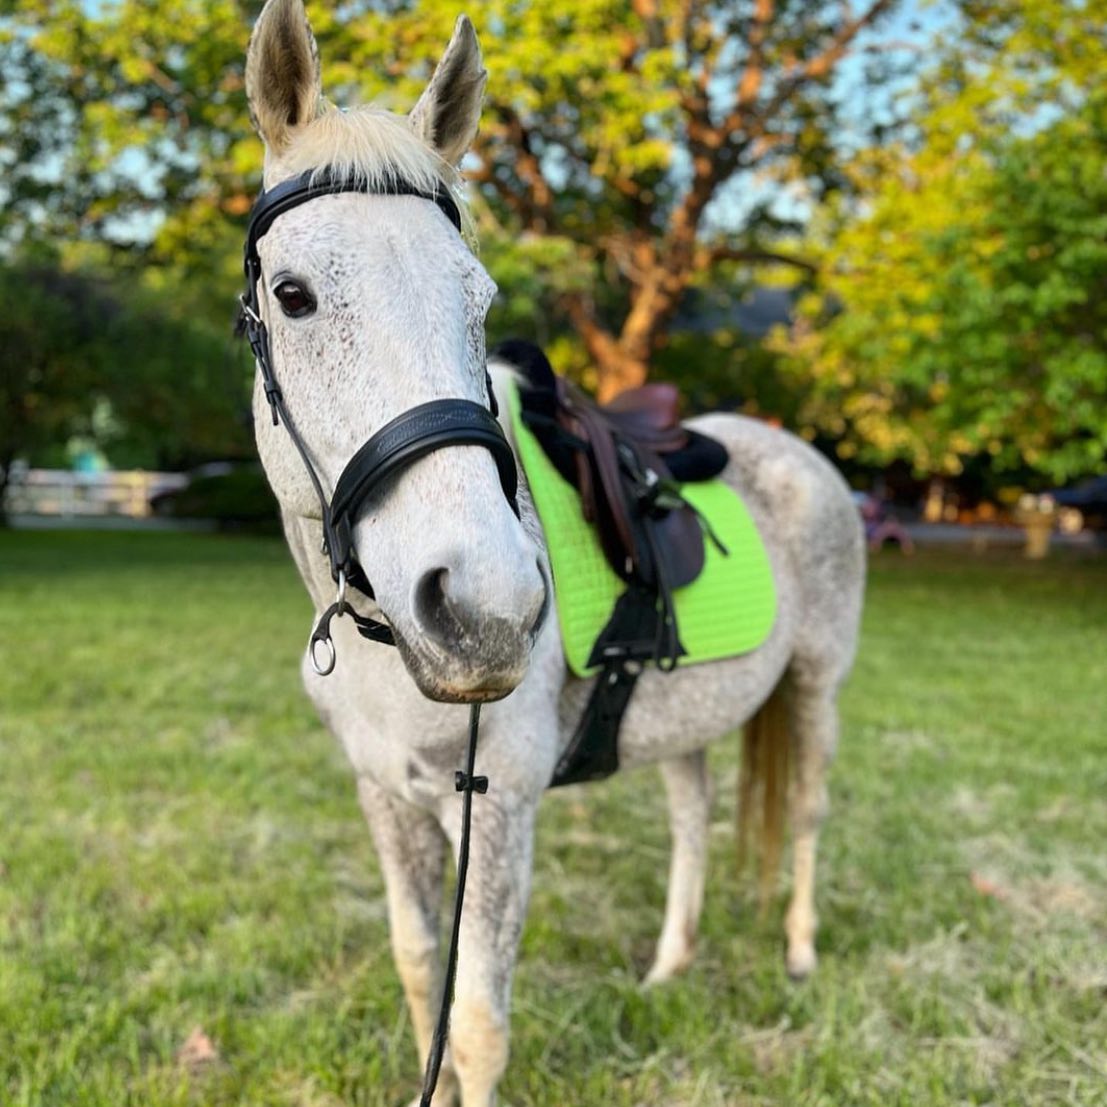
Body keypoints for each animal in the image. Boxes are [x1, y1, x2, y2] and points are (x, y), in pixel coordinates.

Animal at [241, 2, 865, 1103]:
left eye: (479, 298)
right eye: (293, 292)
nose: (484, 612)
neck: (381, 648)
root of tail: (801, 456)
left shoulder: (496, 810)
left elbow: (478, 1019)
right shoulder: (387, 800)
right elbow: (421, 974)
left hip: (815, 687)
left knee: (804, 813)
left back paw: (796, 950)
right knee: (694, 819)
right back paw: (669, 965)